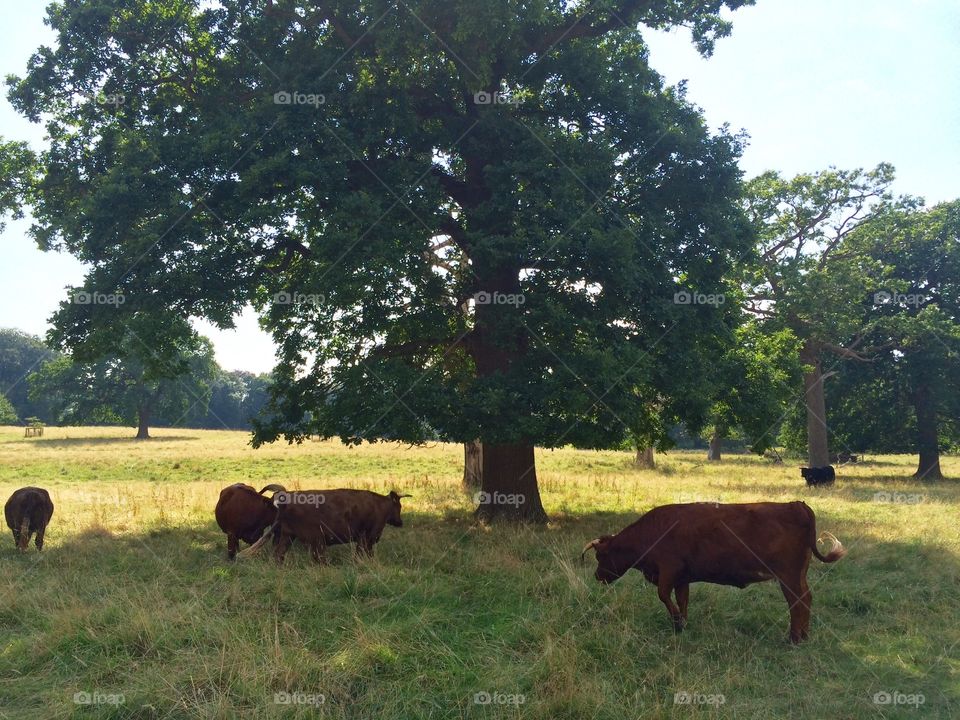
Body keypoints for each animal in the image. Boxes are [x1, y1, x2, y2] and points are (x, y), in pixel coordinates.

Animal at [241, 489, 409, 564]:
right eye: (399, 506)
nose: (400, 522)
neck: (380, 505)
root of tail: (287, 499)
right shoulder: (367, 537)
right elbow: (363, 554)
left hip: (288, 536)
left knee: (279, 554)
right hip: (316, 539)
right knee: (319, 558)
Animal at [581, 501, 846, 643]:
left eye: (600, 556)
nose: (597, 576)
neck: (651, 532)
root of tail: (797, 505)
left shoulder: (668, 570)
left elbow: (664, 596)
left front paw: (676, 621)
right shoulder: (682, 577)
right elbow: (682, 600)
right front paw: (681, 624)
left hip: (788, 576)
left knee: (797, 601)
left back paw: (793, 638)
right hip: (798, 575)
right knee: (806, 598)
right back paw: (804, 636)